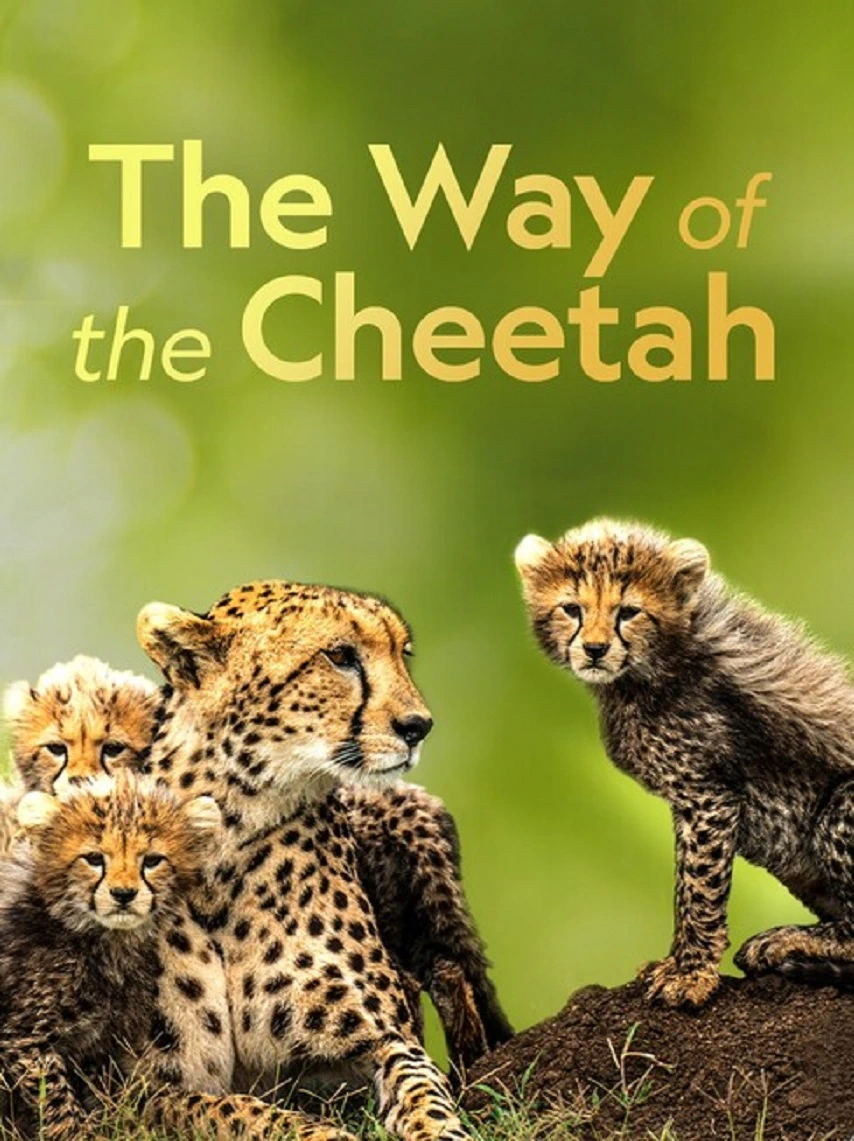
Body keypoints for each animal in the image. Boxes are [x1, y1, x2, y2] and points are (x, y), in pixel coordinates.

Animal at [134, 579, 505, 1140]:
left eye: (402, 654)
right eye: (341, 656)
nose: (419, 726)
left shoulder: (380, 1038)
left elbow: (423, 1090)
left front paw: (439, 1126)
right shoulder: (137, 1090)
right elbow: (238, 1112)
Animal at [515, 516, 854, 1009]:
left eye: (628, 612)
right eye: (571, 609)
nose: (595, 649)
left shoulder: (709, 797)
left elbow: (698, 888)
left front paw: (690, 975)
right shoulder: (688, 802)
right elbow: (683, 882)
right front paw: (675, 964)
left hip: (839, 807)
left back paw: (786, 940)